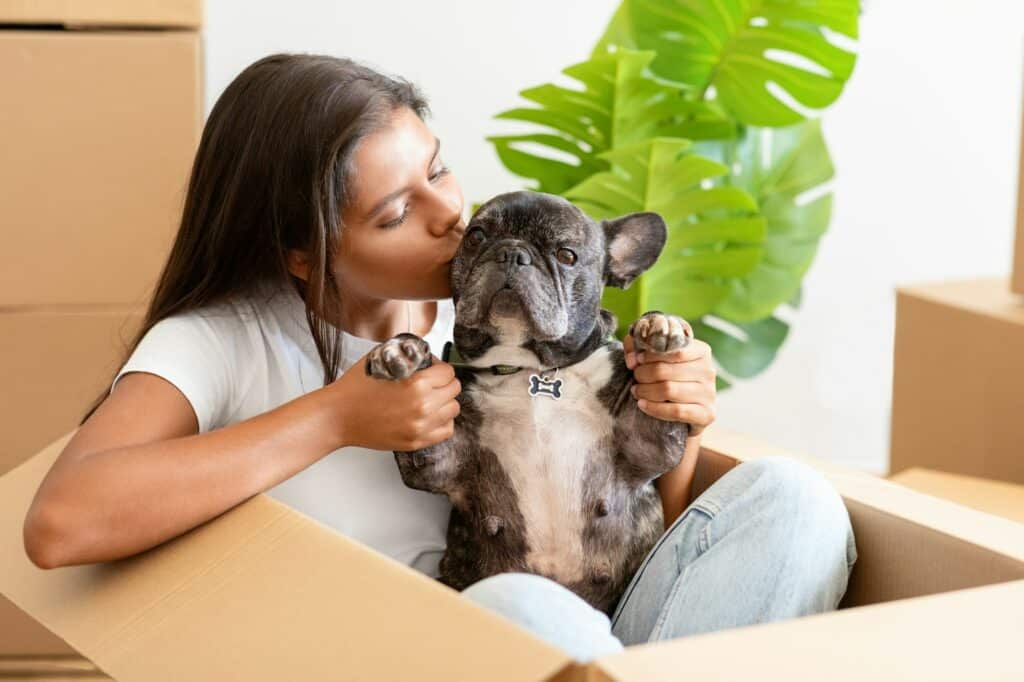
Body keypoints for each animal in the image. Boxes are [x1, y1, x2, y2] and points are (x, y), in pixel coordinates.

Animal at [364, 188, 692, 614]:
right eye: (476, 237)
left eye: (567, 255)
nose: (512, 253)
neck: (529, 369)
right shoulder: (439, 458)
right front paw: (401, 349)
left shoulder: (647, 440)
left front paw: (659, 323)